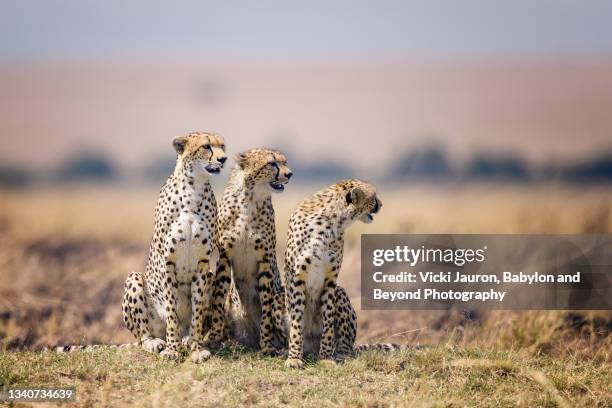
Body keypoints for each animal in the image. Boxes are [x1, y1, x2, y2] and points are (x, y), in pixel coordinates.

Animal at [120, 131, 226, 364]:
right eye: (206, 146)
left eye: (223, 146)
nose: (223, 159)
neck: (194, 189)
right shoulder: (167, 263)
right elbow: (171, 311)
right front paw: (172, 349)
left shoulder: (203, 264)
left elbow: (197, 314)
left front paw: (196, 348)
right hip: (134, 278)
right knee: (143, 334)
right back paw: (156, 342)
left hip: (215, 275)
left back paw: (188, 340)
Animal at [210, 147, 294, 354]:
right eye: (272, 163)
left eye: (285, 162)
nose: (290, 174)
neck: (249, 199)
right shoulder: (224, 257)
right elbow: (218, 298)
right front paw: (213, 337)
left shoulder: (265, 259)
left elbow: (266, 308)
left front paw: (267, 345)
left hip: (281, 295)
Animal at [284, 180, 380, 368]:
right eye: (373, 197)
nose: (381, 205)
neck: (331, 222)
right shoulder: (296, 278)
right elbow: (296, 322)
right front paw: (294, 358)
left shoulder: (330, 280)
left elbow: (328, 321)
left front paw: (326, 357)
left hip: (340, 292)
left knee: (347, 346)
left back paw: (340, 355)